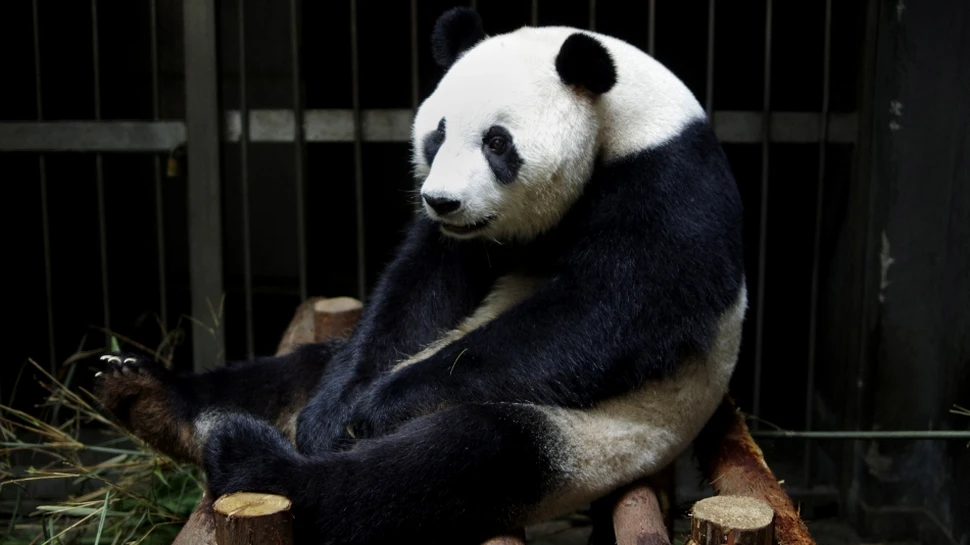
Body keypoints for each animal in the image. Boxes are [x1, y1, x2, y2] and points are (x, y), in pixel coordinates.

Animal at [93, 7, 746, 545]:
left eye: (498, 142)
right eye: (438, 132)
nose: (442, 202)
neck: (623, 119)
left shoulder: (667, 183)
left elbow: (613, 312)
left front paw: (377, 409)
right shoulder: (463, 244)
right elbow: (420, 290)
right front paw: (333, 416)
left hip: (598, 439)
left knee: (458, 460)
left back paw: (257, 462)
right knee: (296, 372)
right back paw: (147, 396)